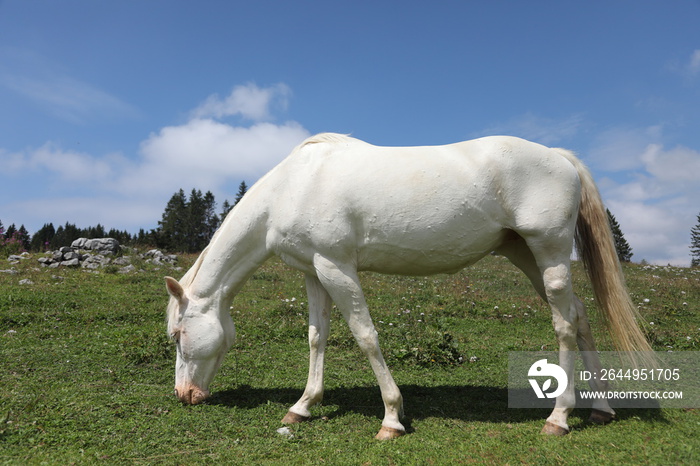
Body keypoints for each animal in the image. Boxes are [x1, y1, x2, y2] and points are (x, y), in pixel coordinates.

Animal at [164, 133, 652, 438]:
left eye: (178, 334)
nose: (184, 396)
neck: (291, 187)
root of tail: (559, 156)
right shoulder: (313, 271)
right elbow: (317, 338)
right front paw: (303, 406)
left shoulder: (337, 267)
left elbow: (365, 336)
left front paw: (391, 418)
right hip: (525, 255)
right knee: (580, 316)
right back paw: (601, 409)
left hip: (548, 254)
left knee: (564, 325)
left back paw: (559, 417)